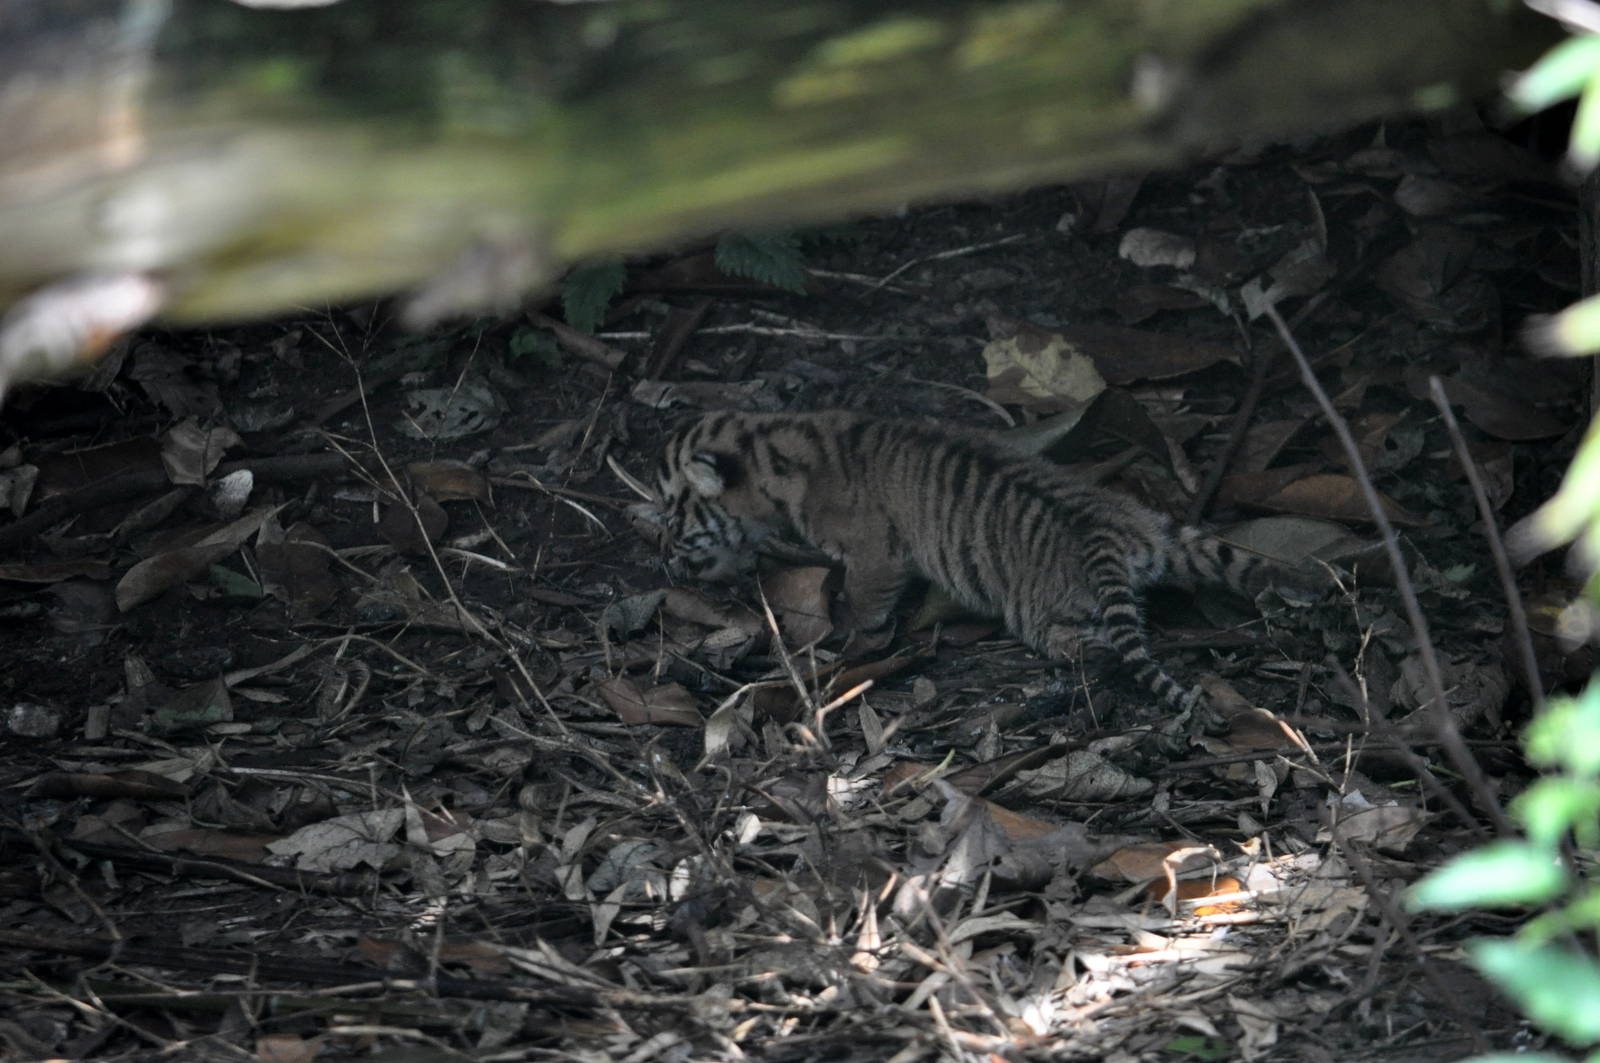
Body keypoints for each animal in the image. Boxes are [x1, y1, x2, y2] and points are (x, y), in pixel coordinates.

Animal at [654, 409, 1309, 719]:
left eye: (672, 510)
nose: (667, 563)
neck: (778, 447)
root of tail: (1101, 527)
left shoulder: (873, 555)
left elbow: (864, 609)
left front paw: (850, 645)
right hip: (1172, 535)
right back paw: (1302, 589)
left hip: (1038, 612)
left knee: (1081, 641)